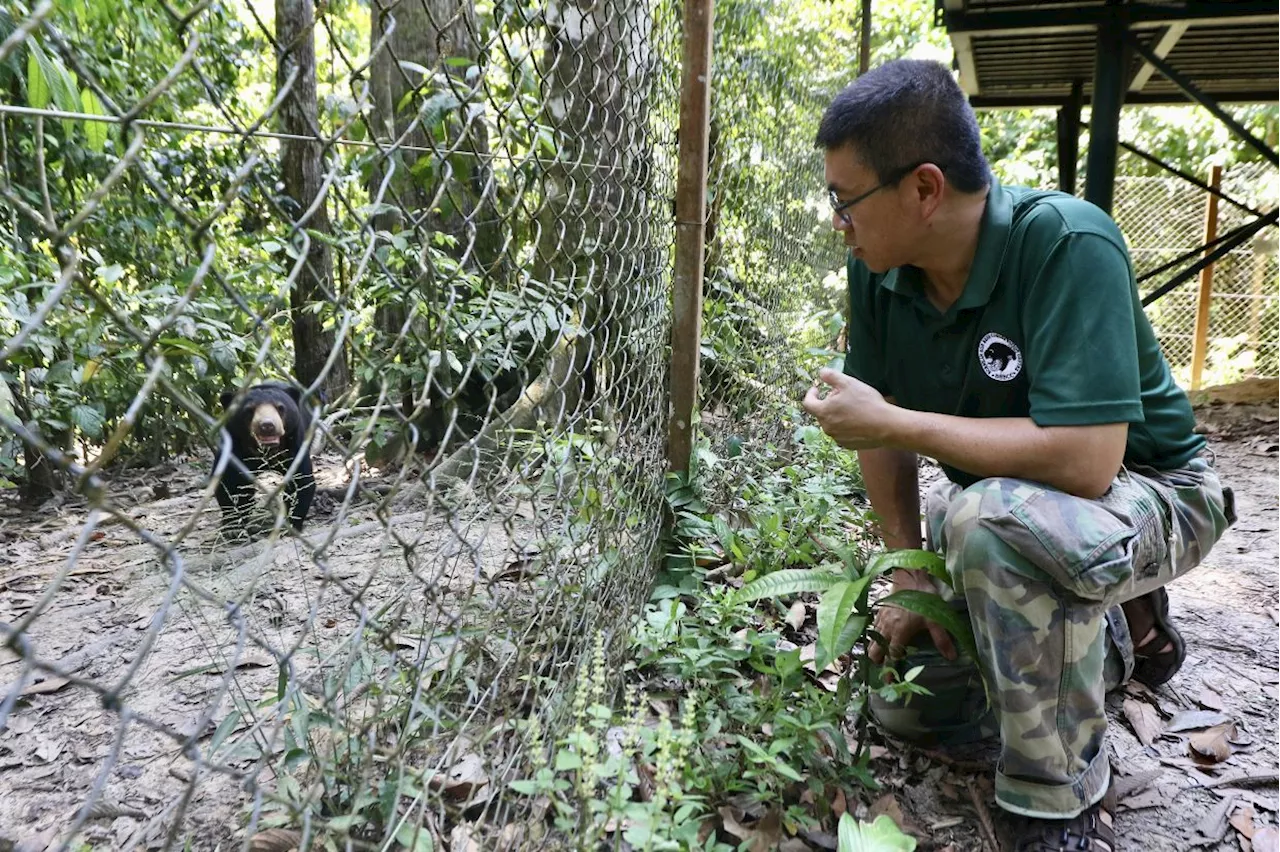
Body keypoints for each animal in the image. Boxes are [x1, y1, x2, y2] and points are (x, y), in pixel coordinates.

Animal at [212, 378, 314, 527]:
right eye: (249, 410)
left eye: (280, 408)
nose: (267, 426)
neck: (267, 450)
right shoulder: (234, 448)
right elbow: (231, 485)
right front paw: (233, 526)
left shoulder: (295, 446)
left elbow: (301, 482)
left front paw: (291, 523)